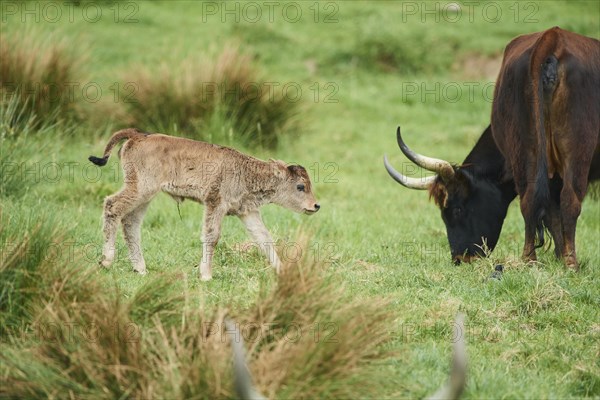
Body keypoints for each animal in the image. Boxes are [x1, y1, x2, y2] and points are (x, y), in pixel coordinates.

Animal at [88, 129, 318, 282]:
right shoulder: (215, 203)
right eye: (300, 186)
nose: (316, 206)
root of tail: (138, 135)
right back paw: (106, 260)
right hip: (141, 189)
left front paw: (282, 271)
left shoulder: (247, 212)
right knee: (112, 206)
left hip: (145, 196)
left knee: (130, 222)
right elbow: (212, 236)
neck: (245, 171)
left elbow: (264, 238)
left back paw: (140, 269)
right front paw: (206, 274)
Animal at [384, 28, 600, 268]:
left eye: (458, 209)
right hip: (574, 150)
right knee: (567, 200)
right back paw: (568, 264)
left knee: (532, 199)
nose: (460, 258)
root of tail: (552, 37)